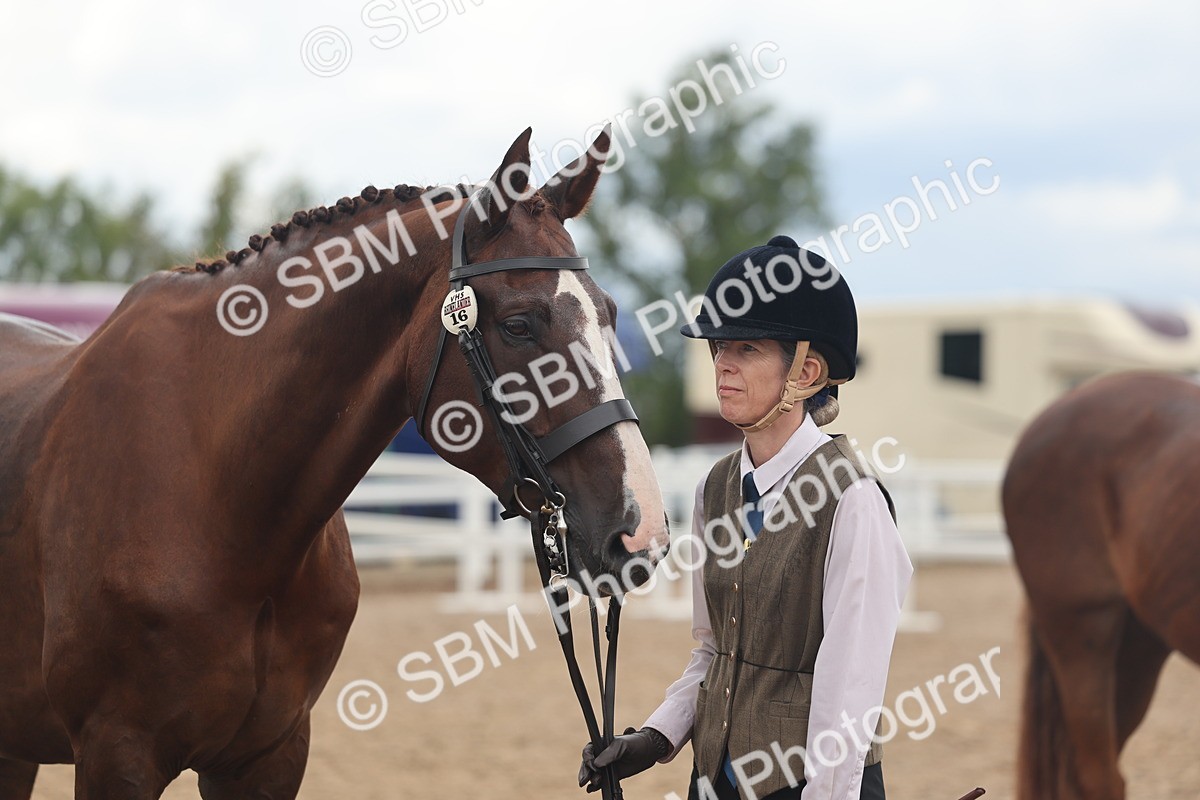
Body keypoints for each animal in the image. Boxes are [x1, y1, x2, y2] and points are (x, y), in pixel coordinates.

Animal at [0, 127, 668, 799]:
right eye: (519, 325)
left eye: (610, 313)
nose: (642, 532)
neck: (220, 501)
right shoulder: (117, 756)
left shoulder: (269, 755)